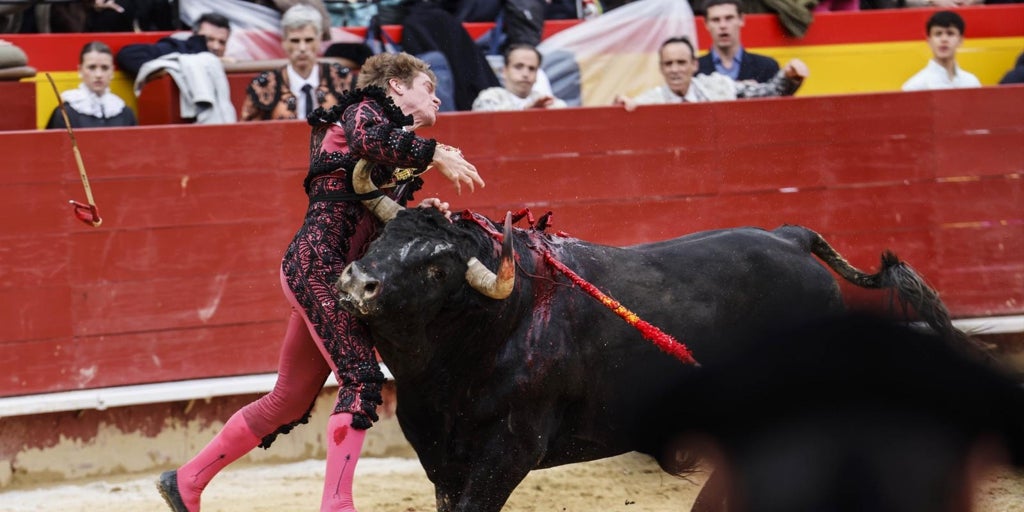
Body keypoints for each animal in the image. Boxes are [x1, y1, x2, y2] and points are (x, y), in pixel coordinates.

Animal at [337, 205, 966, 509]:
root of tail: (789, 237)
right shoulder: (438, 451)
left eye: (436, 268)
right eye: (383, 237)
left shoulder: (512, 447)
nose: (357, 281)